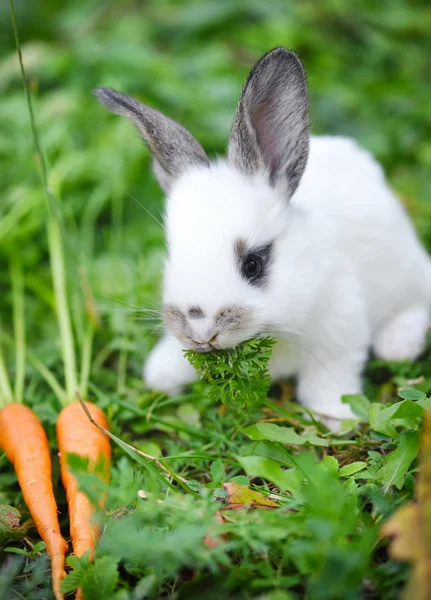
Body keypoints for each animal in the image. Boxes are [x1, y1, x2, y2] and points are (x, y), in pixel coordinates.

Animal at [96, 47, 431, 424]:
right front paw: (162, 377)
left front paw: (337, 417)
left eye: (253, 264)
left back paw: (398, 345)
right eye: (171, 258)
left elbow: (329, 382)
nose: (202, 334)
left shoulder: (339, 334)